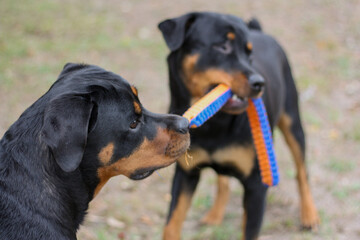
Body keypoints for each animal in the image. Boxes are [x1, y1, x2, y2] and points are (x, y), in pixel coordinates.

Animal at [159, 11, 320, 240]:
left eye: (249, 54)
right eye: (222, 46)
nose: (259, 83)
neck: (215, 124)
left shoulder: (257, 185)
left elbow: (249, 231)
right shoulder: (185, 174)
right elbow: (171, 226)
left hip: (293, 121)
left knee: (301, 171)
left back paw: (309, 215)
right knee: (223, 181)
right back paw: (215, 214)